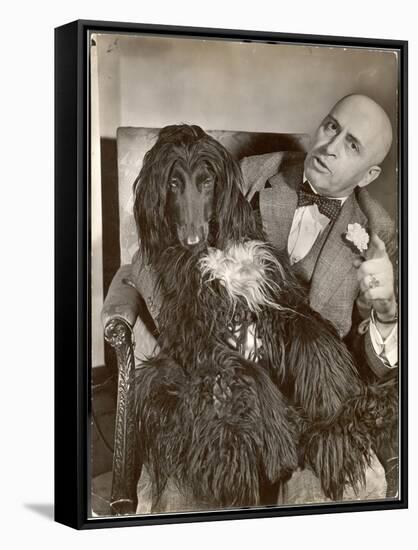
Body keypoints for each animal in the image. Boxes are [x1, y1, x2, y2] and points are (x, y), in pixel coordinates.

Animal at [131, 126, 396, 512]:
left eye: (207, 181)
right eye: (173, 183)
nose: (191, 240)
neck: (217, 249)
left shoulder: (275, 293)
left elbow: (314, 338)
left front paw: (334, 422)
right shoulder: (195, 326)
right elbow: (248, 369)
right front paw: (279, 438)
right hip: (163, 377)